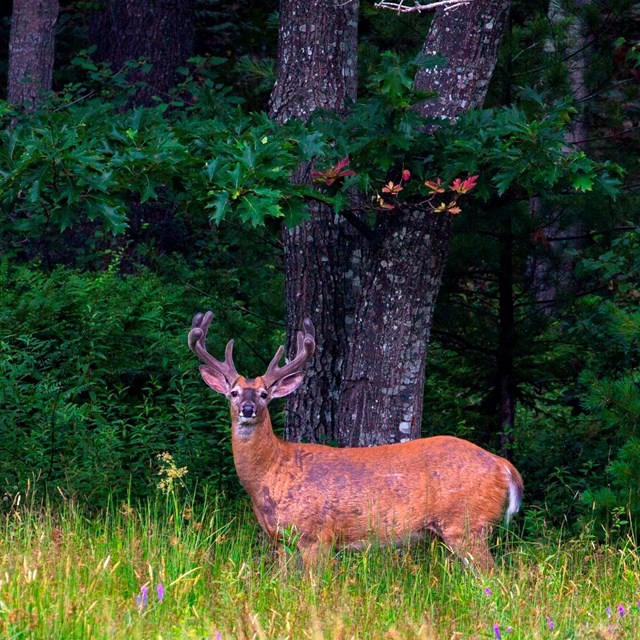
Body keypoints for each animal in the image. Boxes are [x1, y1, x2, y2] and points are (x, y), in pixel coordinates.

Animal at [188, 310, 524, 568]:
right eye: (233, 393)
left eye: (264, 394)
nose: (247, 409)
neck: (272, 474)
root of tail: (503, 466)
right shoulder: (281, 540)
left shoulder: (318, 536)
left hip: (467, 524)